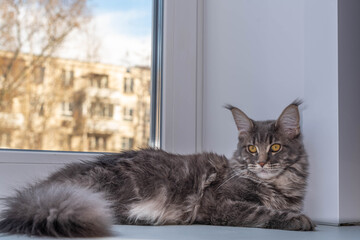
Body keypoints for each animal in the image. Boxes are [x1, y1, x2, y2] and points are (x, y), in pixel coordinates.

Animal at [0, 100, 316, 237]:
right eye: (251, 149)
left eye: (275, 148)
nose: (261, 163)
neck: (278, 187)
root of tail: (48, 186)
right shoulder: (219, 203)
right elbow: (261, 212)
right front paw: (297, 220)